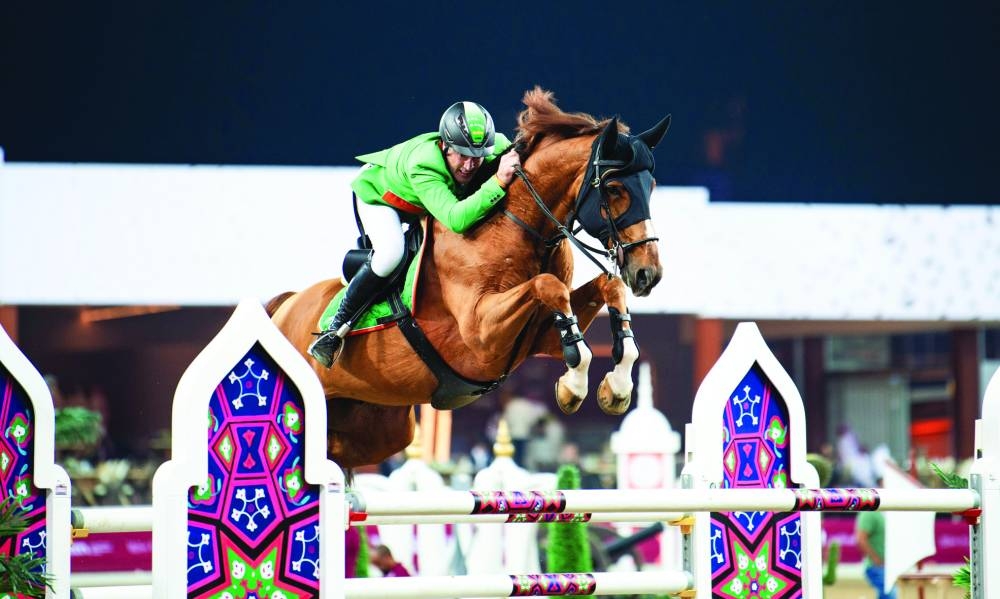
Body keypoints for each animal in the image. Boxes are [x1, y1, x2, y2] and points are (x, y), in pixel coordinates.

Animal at [267, 87, 670, 468]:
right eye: (615, 188)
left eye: (650, 186)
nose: (648, 274)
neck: (517, 225)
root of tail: (284, 306)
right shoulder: (481, 334)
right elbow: (548, 286)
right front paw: (573, 387)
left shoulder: (538, 337)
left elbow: (607, 286)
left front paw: (616, 384)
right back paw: (327, 342)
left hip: (379, 427)